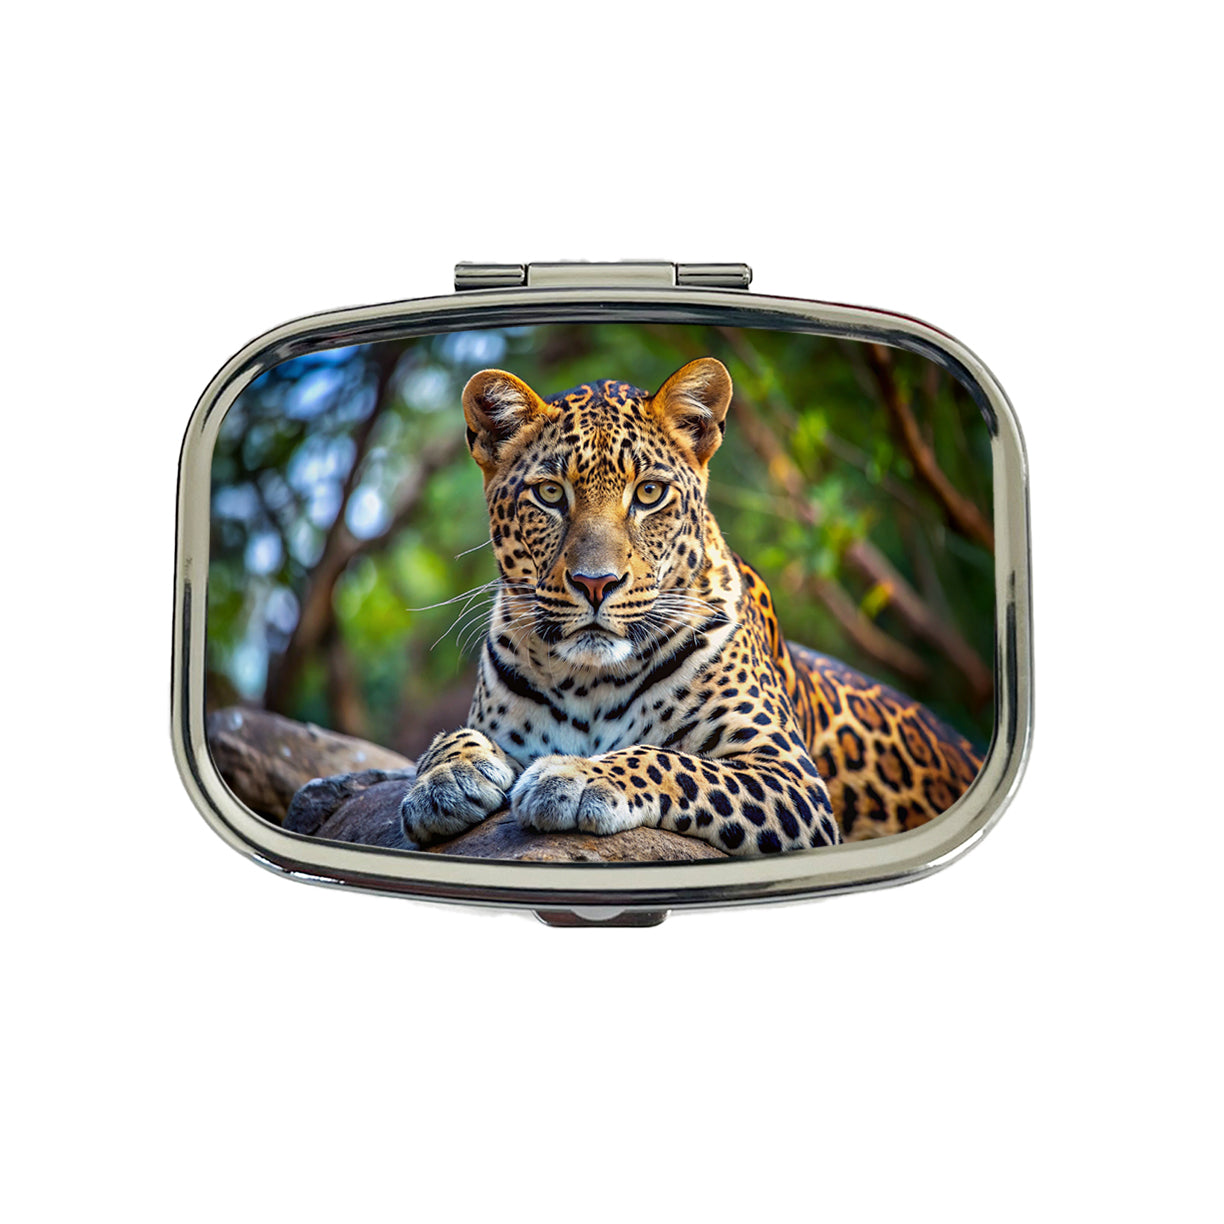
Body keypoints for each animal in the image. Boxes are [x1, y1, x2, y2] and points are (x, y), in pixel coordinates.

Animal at [400, 357, 984, 856]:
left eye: (649, 493)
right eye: (548, 494)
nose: (596, 583)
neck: (587, 680)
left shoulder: (791, 777)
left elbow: (672, 762)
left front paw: (576, 776)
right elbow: (450, 735)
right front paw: (444, 780)